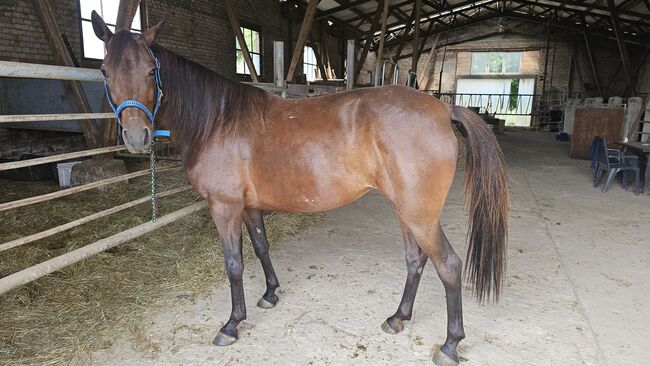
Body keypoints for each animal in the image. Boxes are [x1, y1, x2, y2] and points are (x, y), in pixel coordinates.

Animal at [92, 12, 506, 364]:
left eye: (151, 71)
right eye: (104, 71)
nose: (136, 137)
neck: (217, 121)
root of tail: (442, 109)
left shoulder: (224, 207)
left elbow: (234, 263)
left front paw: (232, 324)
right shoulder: (249, 207)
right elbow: (261, 248)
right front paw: (270, 293)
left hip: (420, 215)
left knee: (448, 265)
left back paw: (450, 345)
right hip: (407, 211)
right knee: (416, 260)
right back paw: (398, 317)